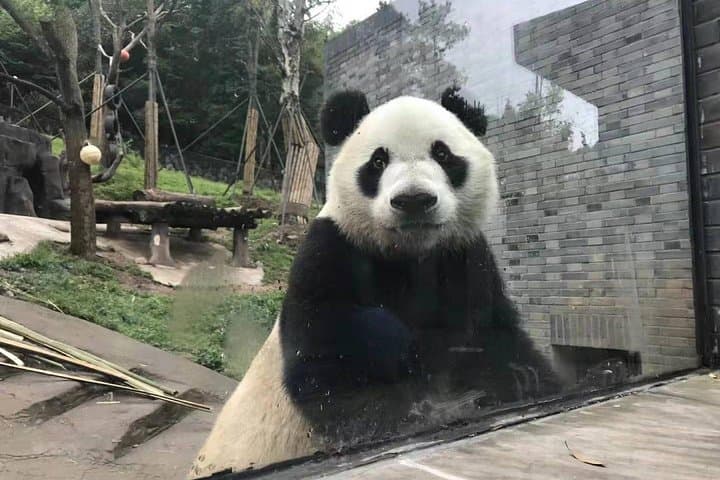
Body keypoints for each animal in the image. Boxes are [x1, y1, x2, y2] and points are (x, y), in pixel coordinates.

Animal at [189, 89, 561, 479]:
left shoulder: (465, 258)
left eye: (442, 154)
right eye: (378, 161)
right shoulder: (331, 253)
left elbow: (500, 344)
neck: (411, 253)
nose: (414, 200)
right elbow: (329, 372)